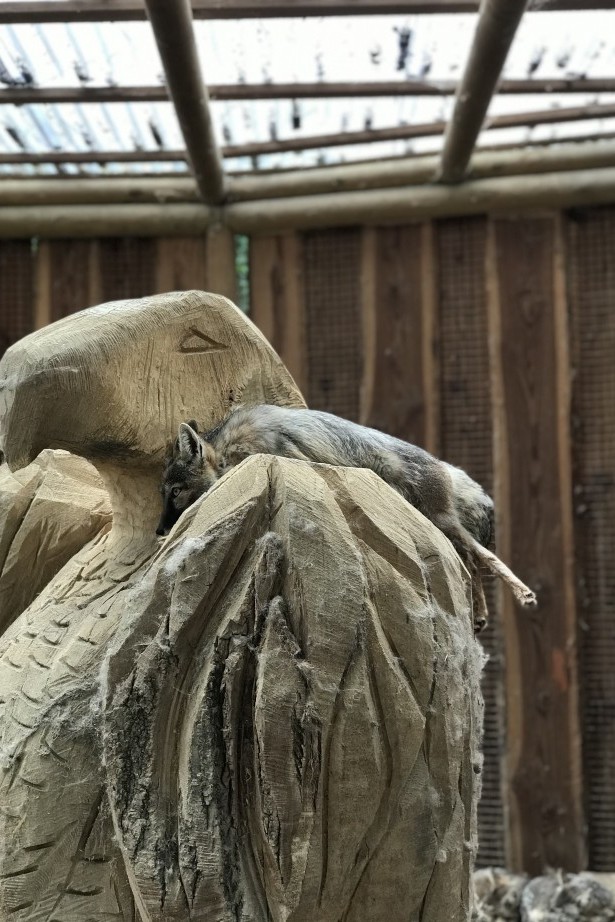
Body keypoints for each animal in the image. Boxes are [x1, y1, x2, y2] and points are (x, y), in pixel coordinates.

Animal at [157, 404, 537, 632]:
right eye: (164, 494)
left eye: (175, 492)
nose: (160, 530)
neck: (231, 450)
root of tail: (446, 466)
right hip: (444, 529)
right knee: (471, 563)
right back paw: (481, 614)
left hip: (445, 525)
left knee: (483, 558)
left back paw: (523, 596)